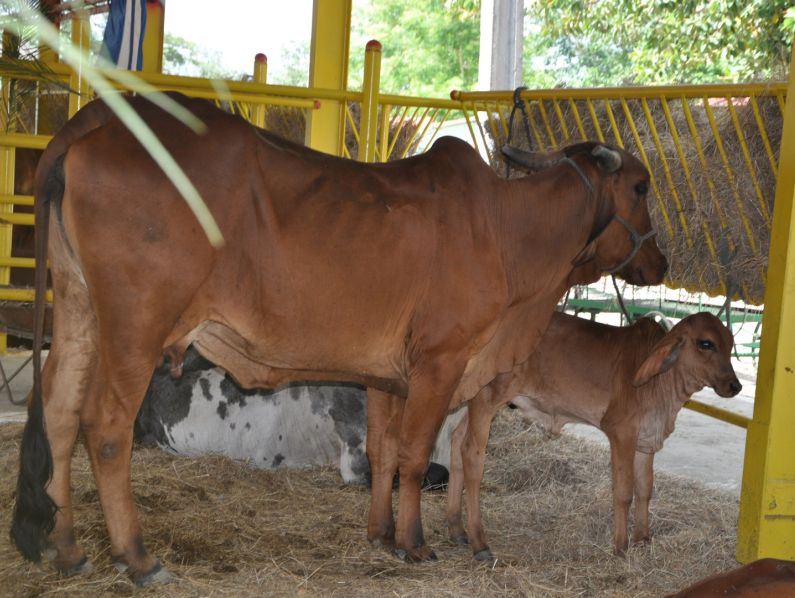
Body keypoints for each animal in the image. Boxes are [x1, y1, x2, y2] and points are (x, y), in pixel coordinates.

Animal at [12, 94, 668, 584]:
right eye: (641, 188)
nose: (661, 261)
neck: (509, 232)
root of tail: (94, 120)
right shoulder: (441, 361)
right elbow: (413, 456)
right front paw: (415, 543)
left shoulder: (385, 375)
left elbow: (383, 451)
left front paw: (379, 535)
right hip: (136, 326)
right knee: (105, 427)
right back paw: (138, 557)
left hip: (78, 310)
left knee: (60, 411)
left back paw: (68, 549)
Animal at [448, 312, 740, 560]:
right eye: (705, 343)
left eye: (730, 344)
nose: (735, 386)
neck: (662, 385)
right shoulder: (621, 432)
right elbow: (624, 491)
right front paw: (620, 546)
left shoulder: (645, 442)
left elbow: (645, 489)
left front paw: (643, 539)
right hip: (487, 398)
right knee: (472, 453)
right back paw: (479, 542)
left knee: (457, 438)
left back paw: (456, 529)